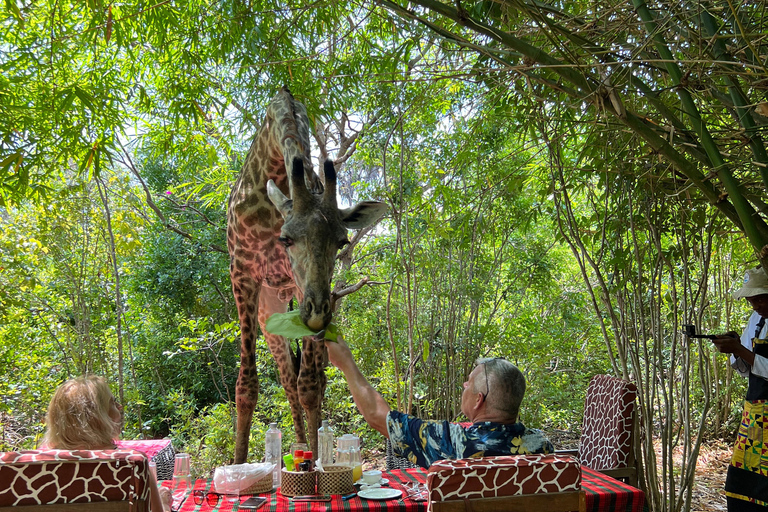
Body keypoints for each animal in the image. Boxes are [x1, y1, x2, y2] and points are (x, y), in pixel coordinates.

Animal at [226, 88, 384, 464]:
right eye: (286, 239)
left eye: (341, 241)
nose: (316, 316)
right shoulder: (242, 270)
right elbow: (246, 386)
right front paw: (237, 464)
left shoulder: (302, 286)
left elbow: (311, 385)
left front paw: (317, 461)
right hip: (269, 315)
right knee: (285, 380)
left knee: (301, 381)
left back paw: (302, 449)